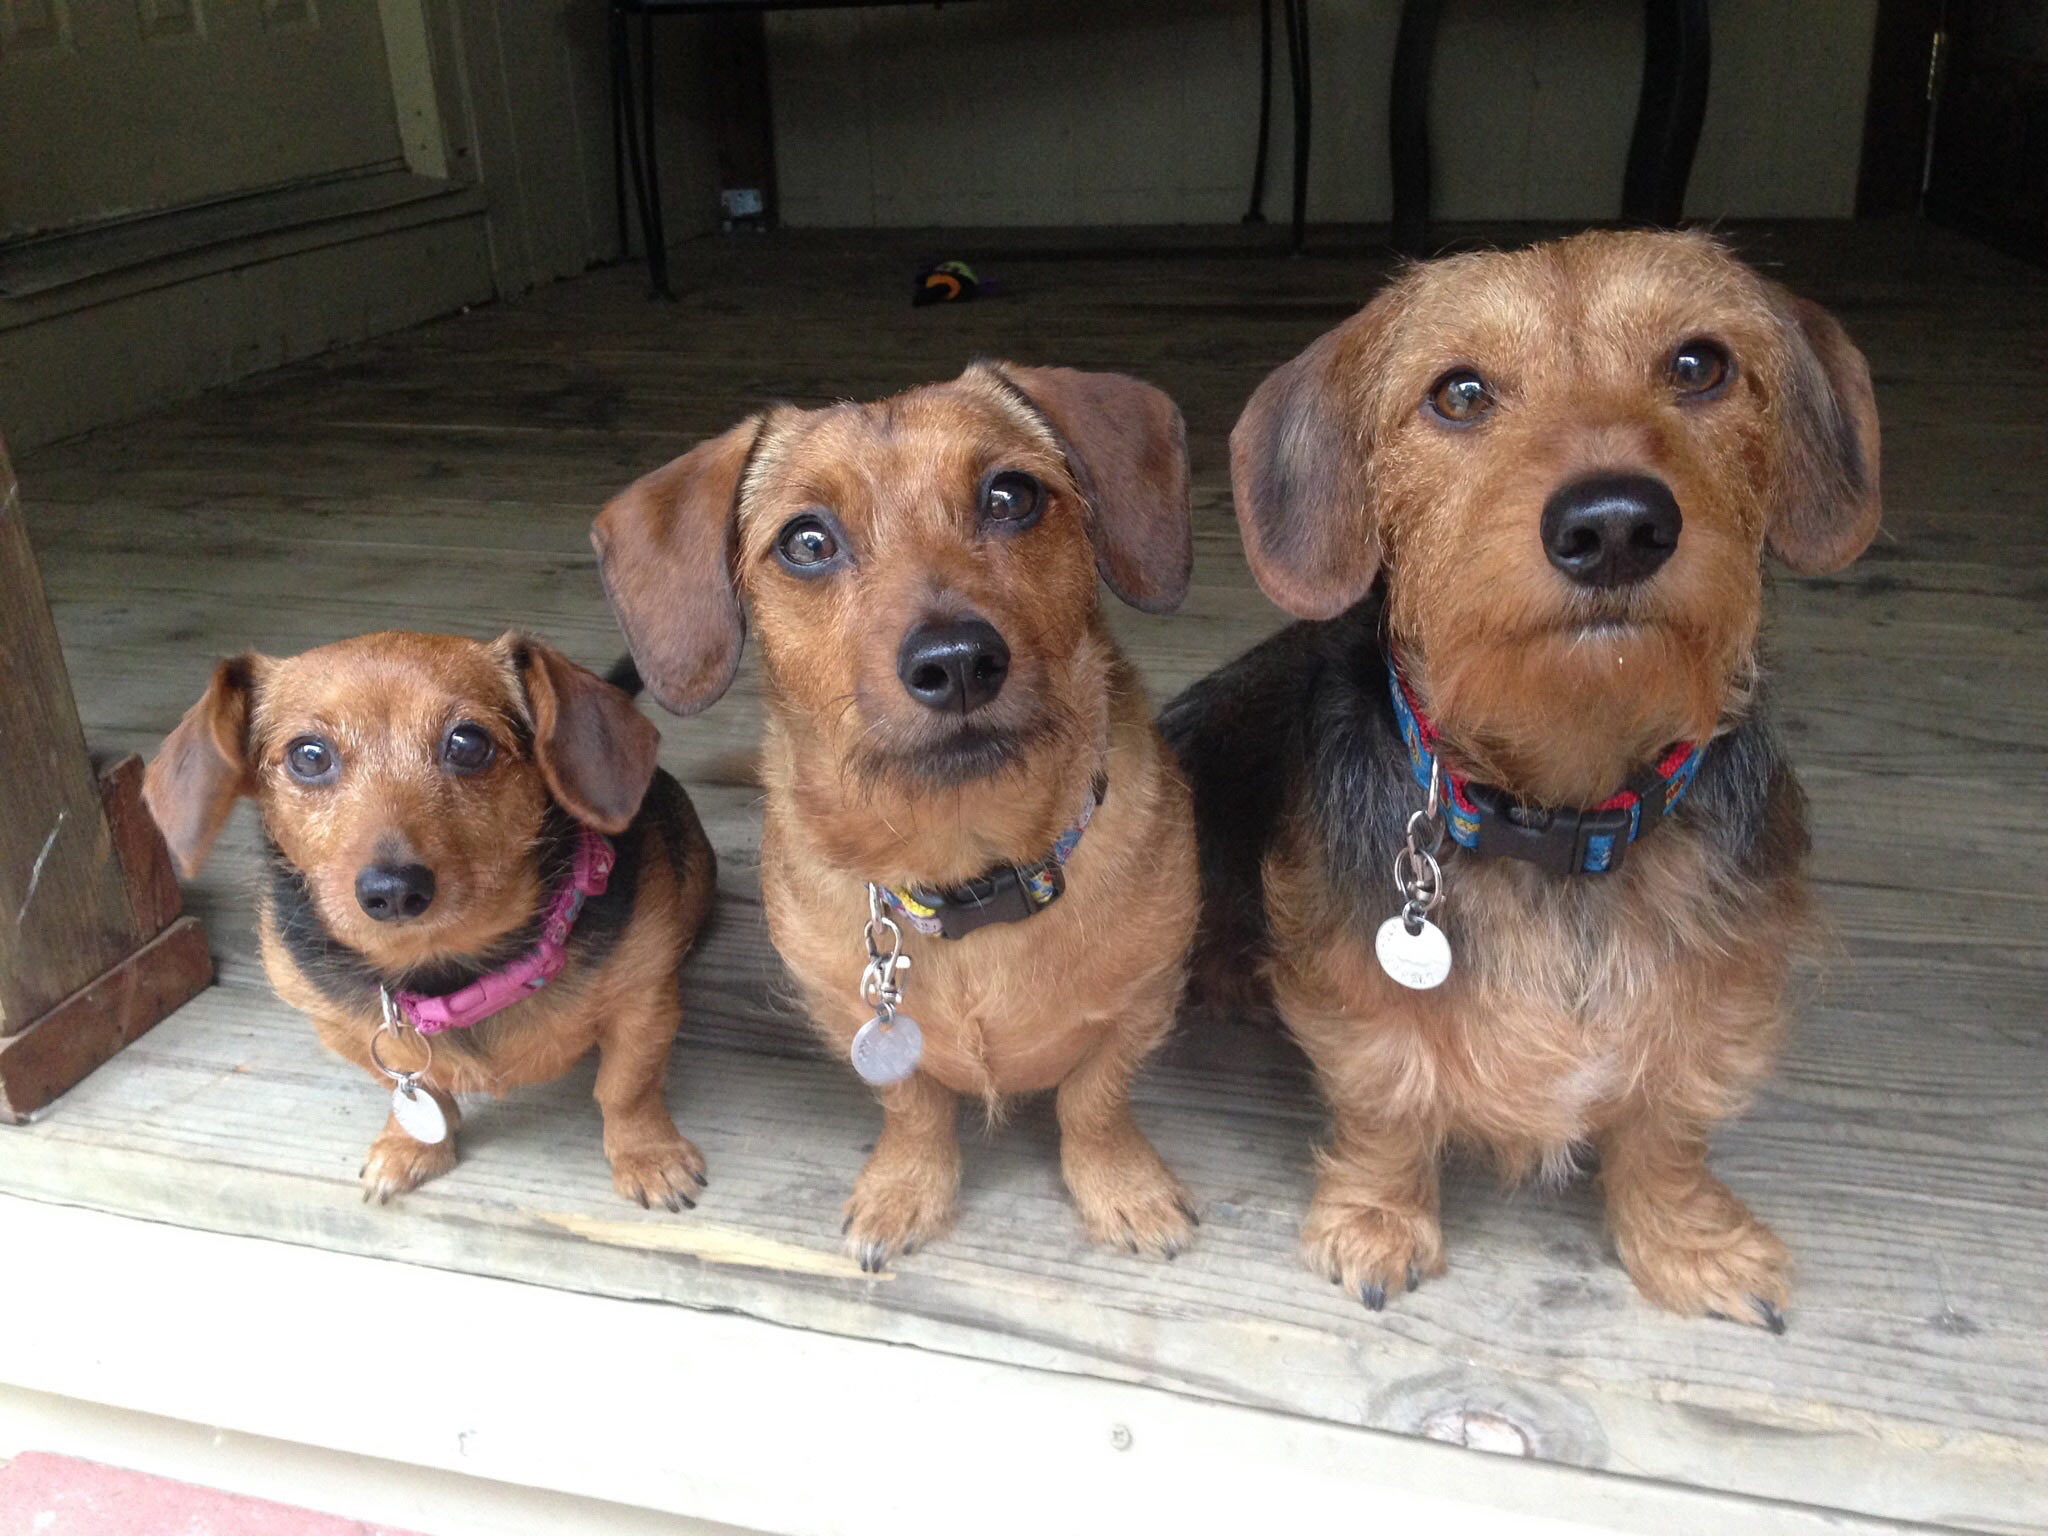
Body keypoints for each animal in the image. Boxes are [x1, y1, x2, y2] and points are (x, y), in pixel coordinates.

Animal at [144, 631, 717, 1207]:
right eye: (308, 755)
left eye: (468, 743)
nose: (393, 889)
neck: (444, 965)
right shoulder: (344, 1029)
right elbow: (412, 1089)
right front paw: (411, 1146)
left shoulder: (644, 1000)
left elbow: (626, 1088)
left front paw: (648, 1157)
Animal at [593, 362, 1201, 1268]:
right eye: (807, 542)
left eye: (1011, 495)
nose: (957, 662)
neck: (969, 869)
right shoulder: (848, 1016)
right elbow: (914, 1109)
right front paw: (907, 1191)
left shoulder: (1144, 1003)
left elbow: (1093, 1102)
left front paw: (1123, 1189)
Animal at [1162, 230, 1881, 1327]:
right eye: (1459, 394)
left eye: (1698, 365)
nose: (1615, 524)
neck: (1559, 813)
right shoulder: (1358, 995)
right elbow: (1386, 1100)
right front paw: (1377, 1224)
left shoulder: (1715, 983)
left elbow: (1670, 1122)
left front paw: (1689, 1244)